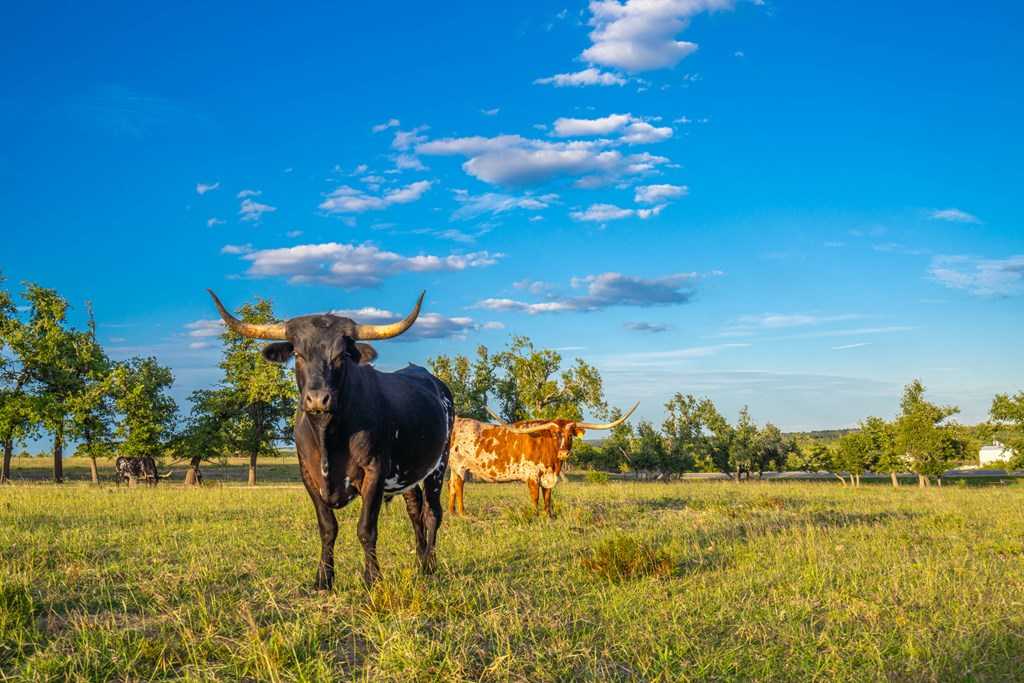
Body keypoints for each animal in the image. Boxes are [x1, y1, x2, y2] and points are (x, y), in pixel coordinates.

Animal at [207, 288, 452, 589]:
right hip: (407, 473)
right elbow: (327, 527)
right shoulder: (308, 476)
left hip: (439, 465)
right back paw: (419, 562)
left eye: (340, 356)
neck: (327, 436)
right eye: (298, 353)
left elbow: (366, 528)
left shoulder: (374, 473)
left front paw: (372, 578)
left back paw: (429, 564)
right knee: (415, 510)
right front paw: (324, 578)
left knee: (432, 513)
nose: (317, 399)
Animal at [450, 403, 634, 516]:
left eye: (570, 435)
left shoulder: (549, 475)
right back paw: (463, 513)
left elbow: (547, 496)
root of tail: (457, 421)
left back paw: (452, 512)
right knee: (459, 486)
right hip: (459, 466)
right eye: (555, 434)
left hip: (453, 468)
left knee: (451, 486)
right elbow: (535, 496)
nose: (564, 454)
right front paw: (535, 514)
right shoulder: (532, 475)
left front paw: (548, 515)